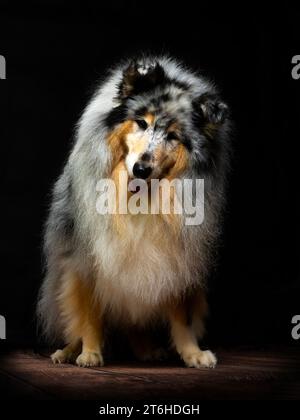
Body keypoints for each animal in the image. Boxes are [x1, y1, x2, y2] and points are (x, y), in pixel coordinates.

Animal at [36, 55, 231, 368]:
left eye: (173, 136)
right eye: (141, 123)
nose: (141, 168)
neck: (141, 196)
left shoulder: (177, 261)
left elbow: (183, 318)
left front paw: (193, 353)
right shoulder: (86, 260)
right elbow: (89, 315)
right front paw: (90, 354)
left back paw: (147, 349)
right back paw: (66, 352)